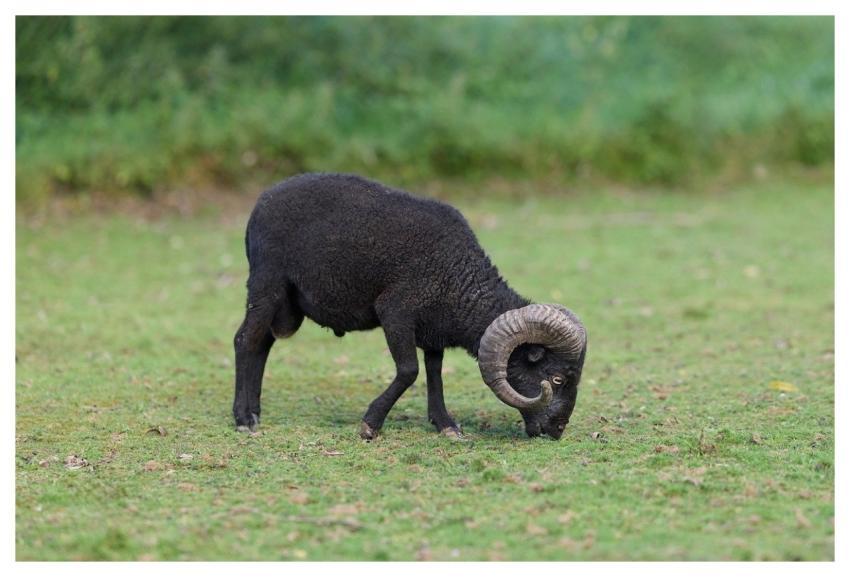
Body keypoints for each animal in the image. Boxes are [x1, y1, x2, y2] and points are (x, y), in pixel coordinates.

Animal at [232, 173, 587, 440]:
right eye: (557, 379)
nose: (557, 431)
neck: (457, 276)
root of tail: (259, 205)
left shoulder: (433, 331)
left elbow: (434, 373)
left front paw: (446, 425)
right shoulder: (395, 313)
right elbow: (409, 370)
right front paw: (370, 425)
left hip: (285, 304)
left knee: (262, 344)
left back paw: (255, 411)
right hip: (266, 283)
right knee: (245, 340)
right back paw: (242, 418)